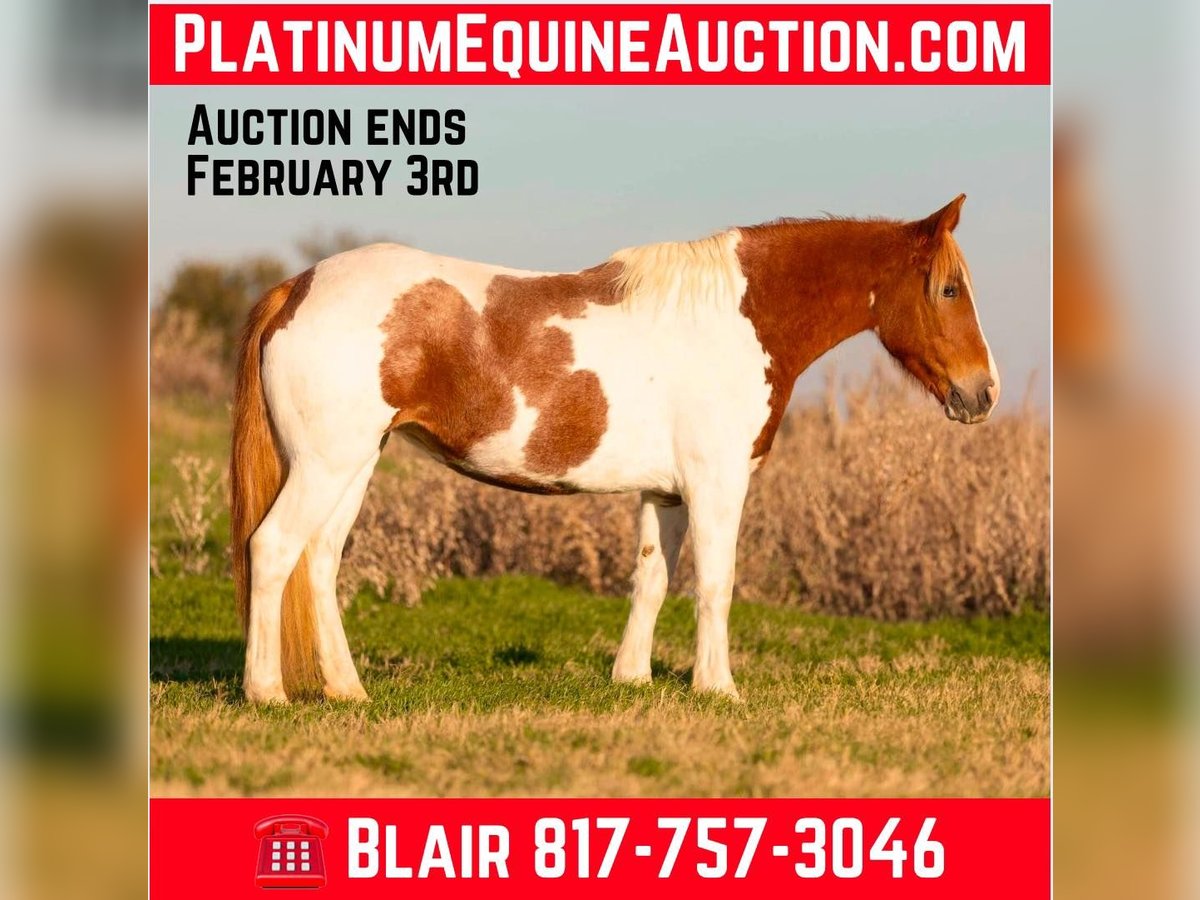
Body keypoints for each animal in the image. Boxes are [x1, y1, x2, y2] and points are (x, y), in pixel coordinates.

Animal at [230, 194, 999, 703]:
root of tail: (296, 287)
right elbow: (715, 583)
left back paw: (348, 692)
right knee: (273, 549)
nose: (983, 392)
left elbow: (652, 579)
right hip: (327, 464)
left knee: (319, 561)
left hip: (354, 464)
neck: (741, 318)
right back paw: (267, 692)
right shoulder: (717, 485)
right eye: (949, 289)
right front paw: (718, 689)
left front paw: (632, 678)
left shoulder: (666, 492)